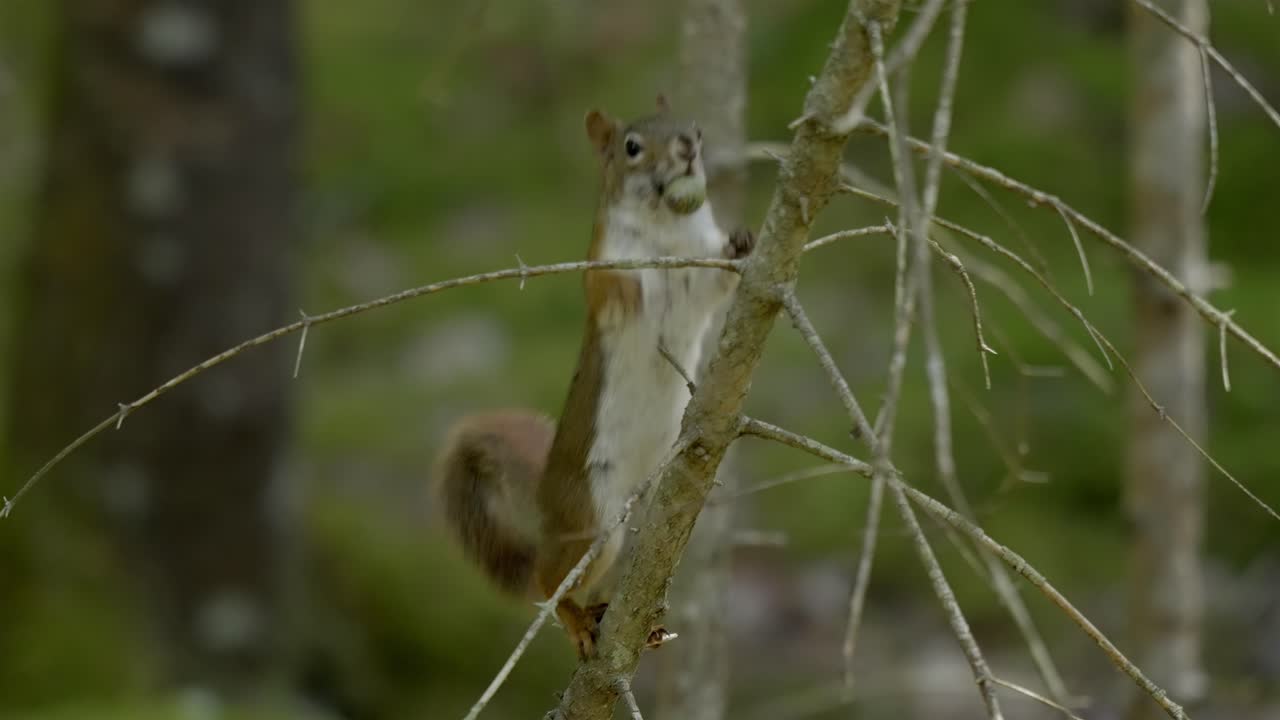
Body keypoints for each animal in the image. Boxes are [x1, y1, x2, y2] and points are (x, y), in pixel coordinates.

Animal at [434, 96, 754, 659]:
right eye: (631, 146)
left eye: (694, 128)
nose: (688, 149)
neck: (667, 227)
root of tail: (545, 492)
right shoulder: (600, 261)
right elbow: (609, 287)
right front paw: (631, 289)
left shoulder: (699, 269)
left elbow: (716, 281)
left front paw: (740, 244)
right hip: (591, 518)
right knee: (547, 582)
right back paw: (579, 622)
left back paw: (628, 621)